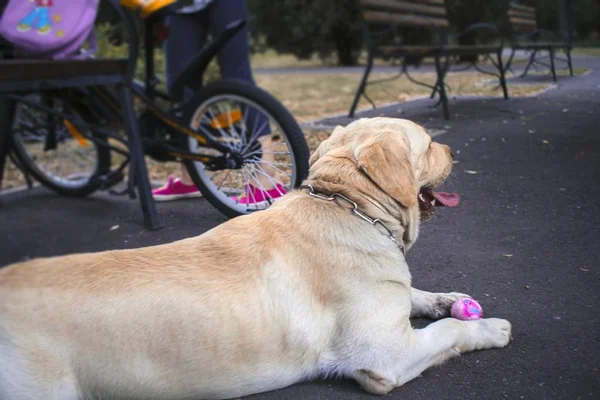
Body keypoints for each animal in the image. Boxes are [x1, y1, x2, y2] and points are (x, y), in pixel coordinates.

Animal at [1, 117, 510, 398]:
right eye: (428, 143)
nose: (452, 149)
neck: (347, 205)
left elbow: (415, 294)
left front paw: (448, 300)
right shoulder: (385, 356)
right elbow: (447, 334)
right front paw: (487, 328)